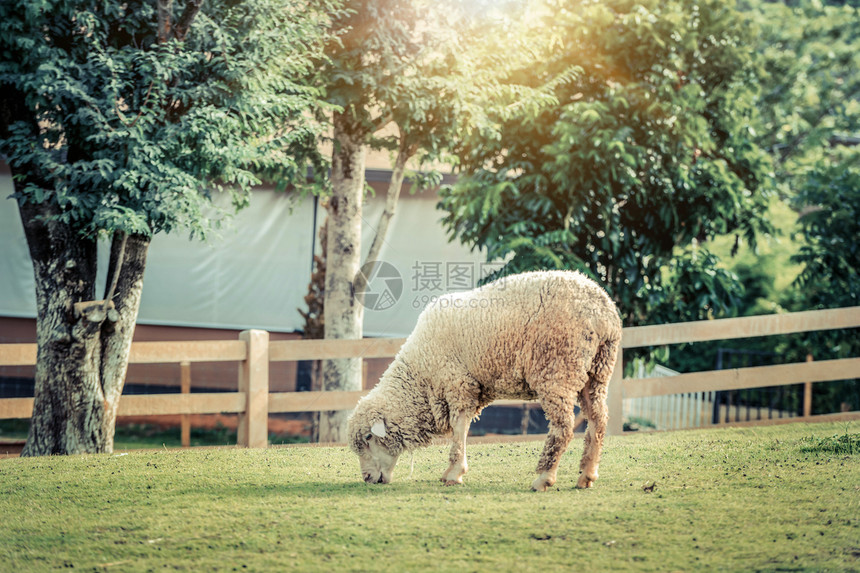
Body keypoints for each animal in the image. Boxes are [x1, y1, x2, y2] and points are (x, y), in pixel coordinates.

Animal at [346, 270, 620, 490]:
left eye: (368, 438)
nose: (367, 479)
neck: (421, 373)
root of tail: (603, 312)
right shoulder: (470, 388)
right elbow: (463, 428)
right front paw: (451, 471)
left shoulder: (458, 384)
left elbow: (459, 429)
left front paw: (454, 473)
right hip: (596, 373)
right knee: (598, 420)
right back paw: (587, 475)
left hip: (557, 369)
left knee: (563, 427)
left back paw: (544, 478)